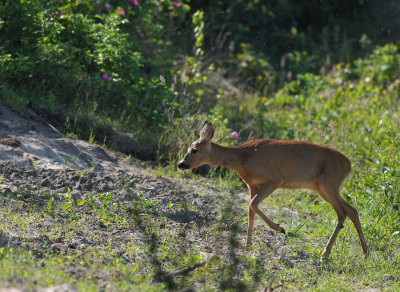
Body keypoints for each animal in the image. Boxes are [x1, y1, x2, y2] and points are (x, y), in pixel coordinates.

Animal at [178, 121, 368, 260]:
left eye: (194, 150)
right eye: (188, 149)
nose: (181, 164)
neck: (243, 158)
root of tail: (349, 166)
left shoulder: (274, 180)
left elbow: (253, 205)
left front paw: (280, 228)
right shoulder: (252, 185)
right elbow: (250, 209)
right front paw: (247, 244)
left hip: (329, 184)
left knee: (342, 213)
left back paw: (325, 253)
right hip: (325, 188)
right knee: (352, 210)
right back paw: (366, 254)